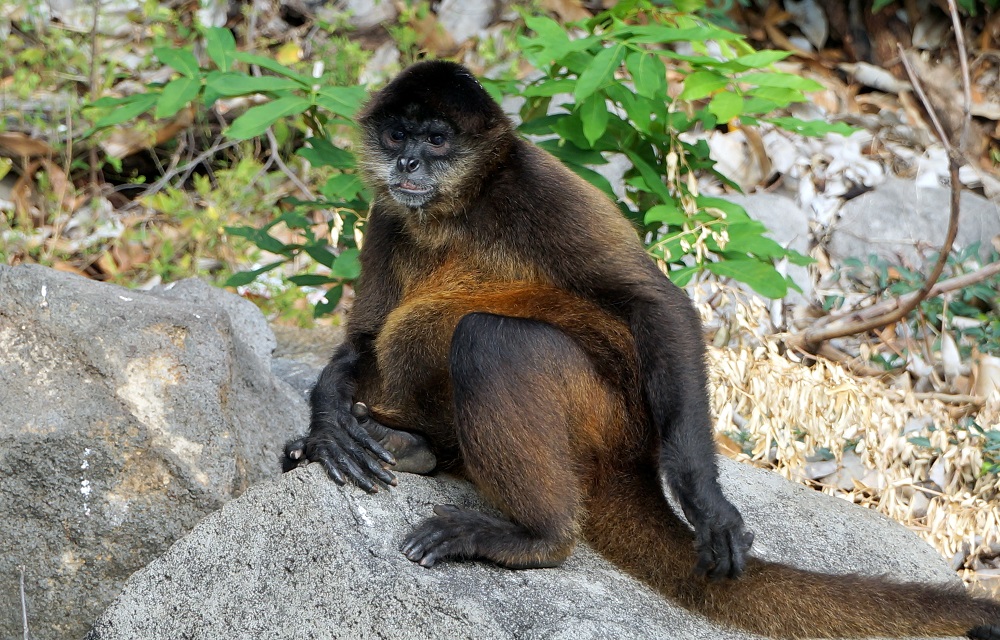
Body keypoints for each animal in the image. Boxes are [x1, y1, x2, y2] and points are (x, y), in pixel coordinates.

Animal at [284, 60, 1000, 640]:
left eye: (436, 140)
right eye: (397, 138)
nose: (407, 165)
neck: (457, 210)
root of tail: (633, 459)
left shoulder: (532, 187)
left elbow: (657, 304)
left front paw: (704, 500)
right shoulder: (389, 211)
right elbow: (364, 337)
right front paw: (327, 419)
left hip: (601, 415)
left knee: (488, 339)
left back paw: (536, 538)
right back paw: (414, 447)